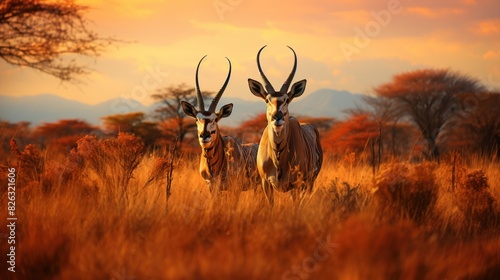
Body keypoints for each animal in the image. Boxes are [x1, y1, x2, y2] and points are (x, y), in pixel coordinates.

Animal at [247, 44, 324, 205]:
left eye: (287, 99)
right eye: (267, 99)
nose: (277, 117)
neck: (278, 156)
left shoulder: (297, 184)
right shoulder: (266, 183)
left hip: (309, 183)